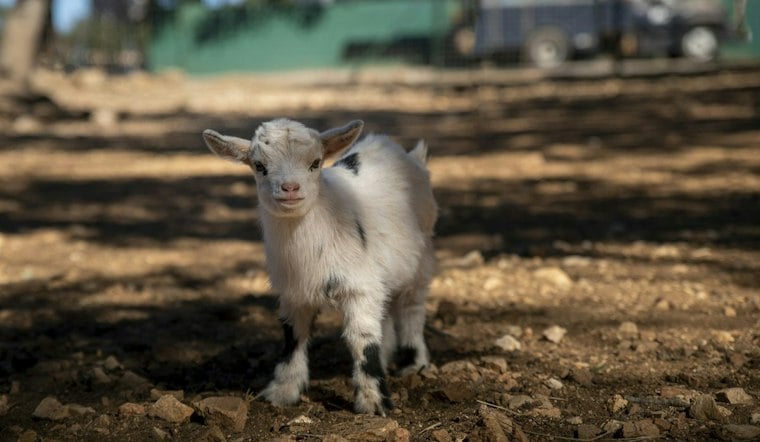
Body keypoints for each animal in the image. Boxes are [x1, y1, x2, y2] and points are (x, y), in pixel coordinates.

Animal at [202, 118, 437, 415]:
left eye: (315, 163)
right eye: (259, 165)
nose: (290, 188)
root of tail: (406, 154)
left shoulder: (359, 287)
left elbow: (362, 339)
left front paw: (373, 403)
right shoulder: (293, 293)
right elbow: (293, 337)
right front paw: (282, 392)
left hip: (422, 259)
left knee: (411, 308)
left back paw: (415, 365)